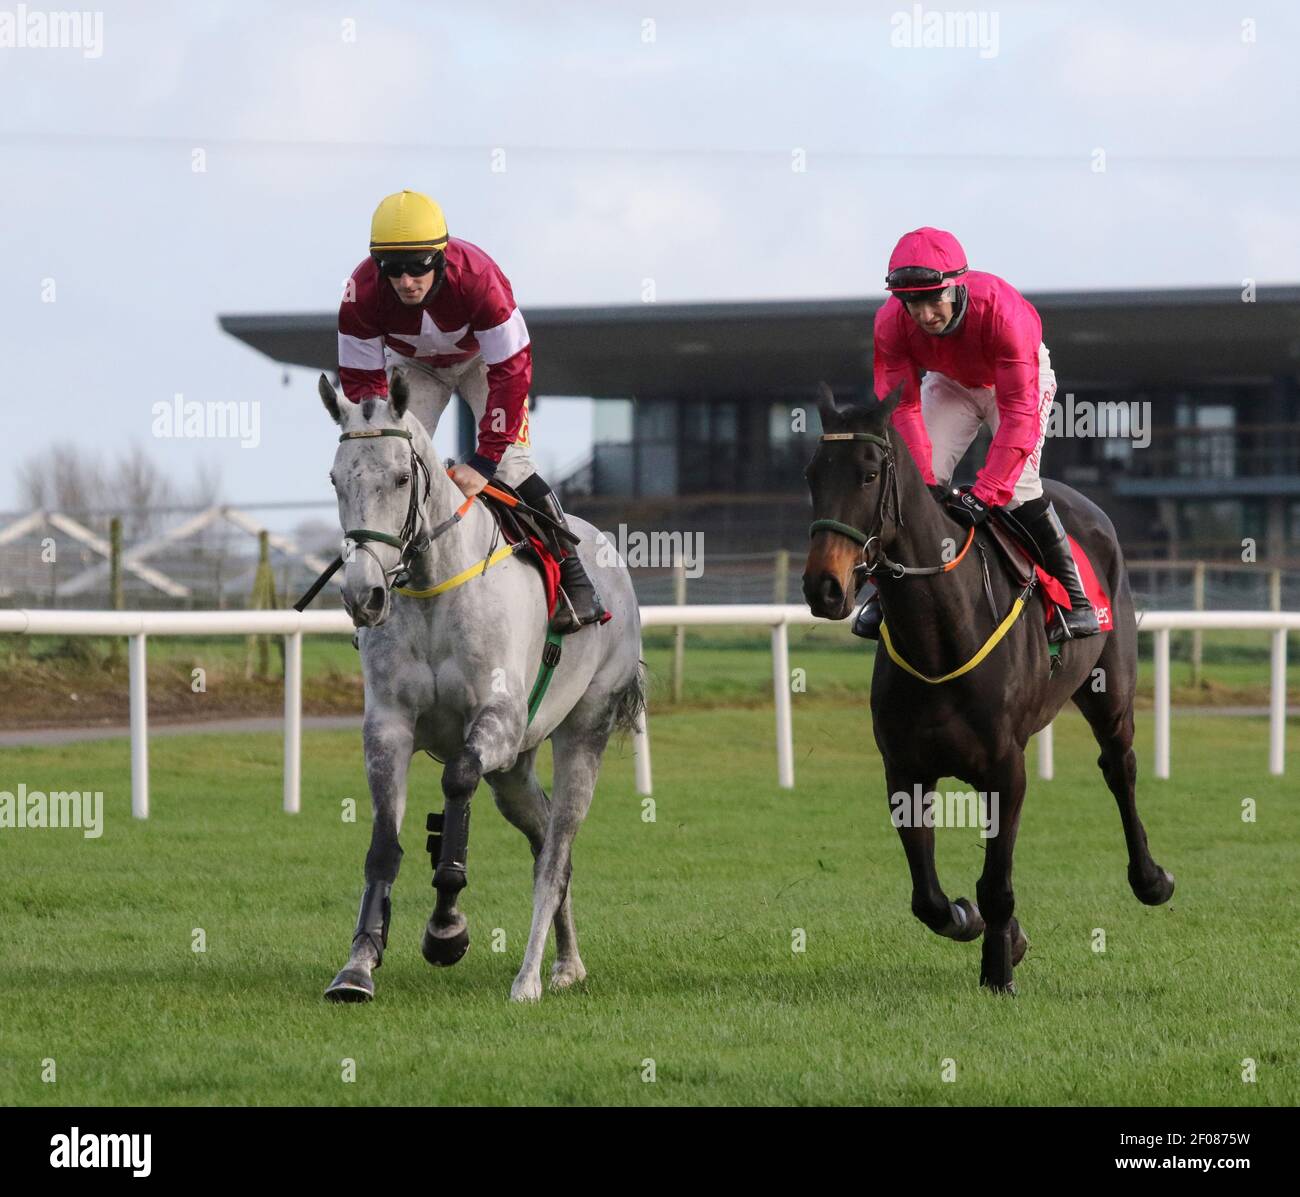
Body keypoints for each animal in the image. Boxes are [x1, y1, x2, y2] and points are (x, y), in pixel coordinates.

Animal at [319, 371, 644, 998]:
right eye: (336, 479)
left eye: (401, 477)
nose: (362, 594)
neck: (433, 588)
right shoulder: (388, 726)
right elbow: (383, 842)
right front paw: (359, 962)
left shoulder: (497, 719)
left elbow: (457, 781)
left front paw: (446, 930)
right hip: (515, 770)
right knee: (546, 841)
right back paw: (568, 962)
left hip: (583, 730)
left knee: (556, 853)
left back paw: (530, 977)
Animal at [800, 382, 1180, 987]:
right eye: (813, 474)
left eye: (867, 474)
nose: (824, 587)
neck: (941, 632)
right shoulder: (904, 768)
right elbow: (928, 899)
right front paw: (973, 921)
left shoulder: (1006, 767)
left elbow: (997, 883)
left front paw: (999, 969)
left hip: (1111, 690)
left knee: (1120, 767)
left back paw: (1150, 878)